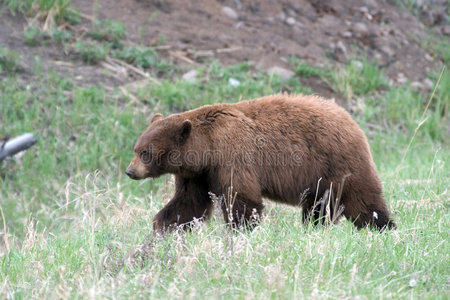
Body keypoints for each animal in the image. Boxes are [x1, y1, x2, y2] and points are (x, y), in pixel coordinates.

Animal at [125, 94, 396, 232]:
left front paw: (242, 229)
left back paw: (382, 227)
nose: (130, 171)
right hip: (322, 179)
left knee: (363, 200)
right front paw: (164, 225)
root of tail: (352, 121)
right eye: (136, 149)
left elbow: (241, 198)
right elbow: (188, 202)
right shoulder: (197, 174)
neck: (207, 148)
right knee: (319, 206)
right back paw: (314, 227)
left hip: (338, 162)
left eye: (145, 152)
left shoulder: (232, 156)